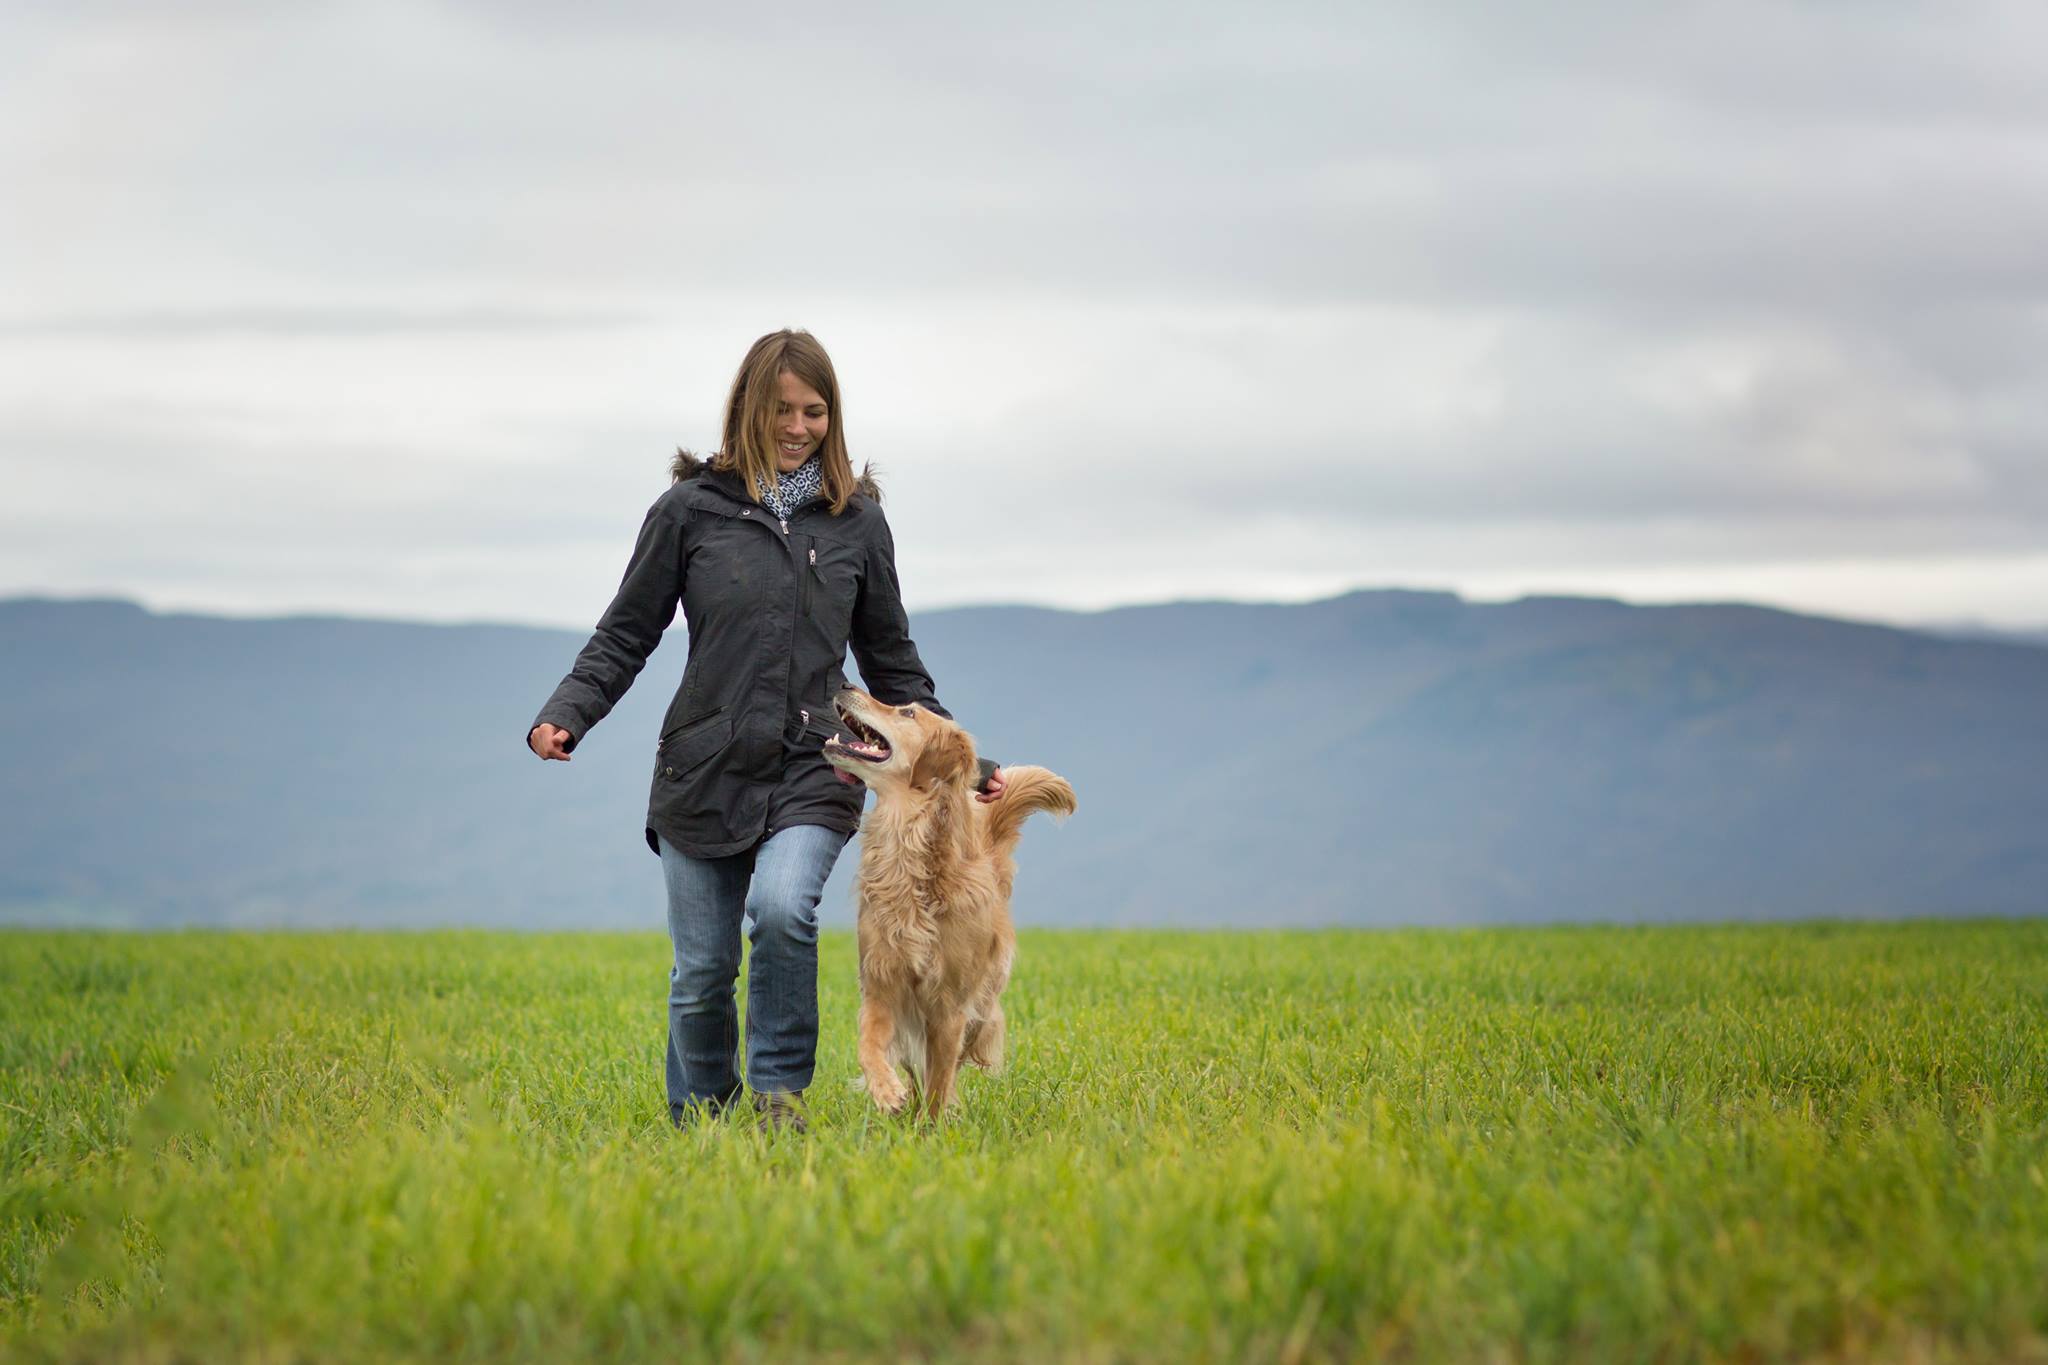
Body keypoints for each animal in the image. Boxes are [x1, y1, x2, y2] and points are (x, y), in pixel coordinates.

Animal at [819, 687, 1073, 1113]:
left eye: (908, 712)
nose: (845, 686)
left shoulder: (950, 1005)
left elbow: (940, 1079)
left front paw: (933, 1122)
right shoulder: (882, 980)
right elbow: (869, 1044)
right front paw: (885, 1091)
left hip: (982, 1004)